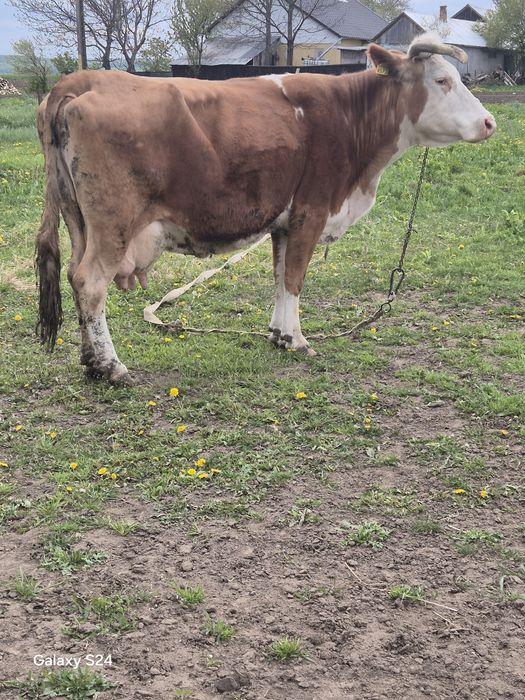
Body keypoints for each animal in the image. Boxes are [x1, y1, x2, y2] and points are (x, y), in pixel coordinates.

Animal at [35, 33, 496, 385]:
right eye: (442, 80)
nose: (489, 122)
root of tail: (82, 79)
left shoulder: (284, 221)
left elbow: (279, 277)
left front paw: (278, 333)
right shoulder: (312, 210)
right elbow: (295, 278)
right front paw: (297, 340)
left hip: (79, 219)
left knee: (74, 276)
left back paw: (90, 361)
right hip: (113, 224)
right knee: (90, 283)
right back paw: (111, 366)